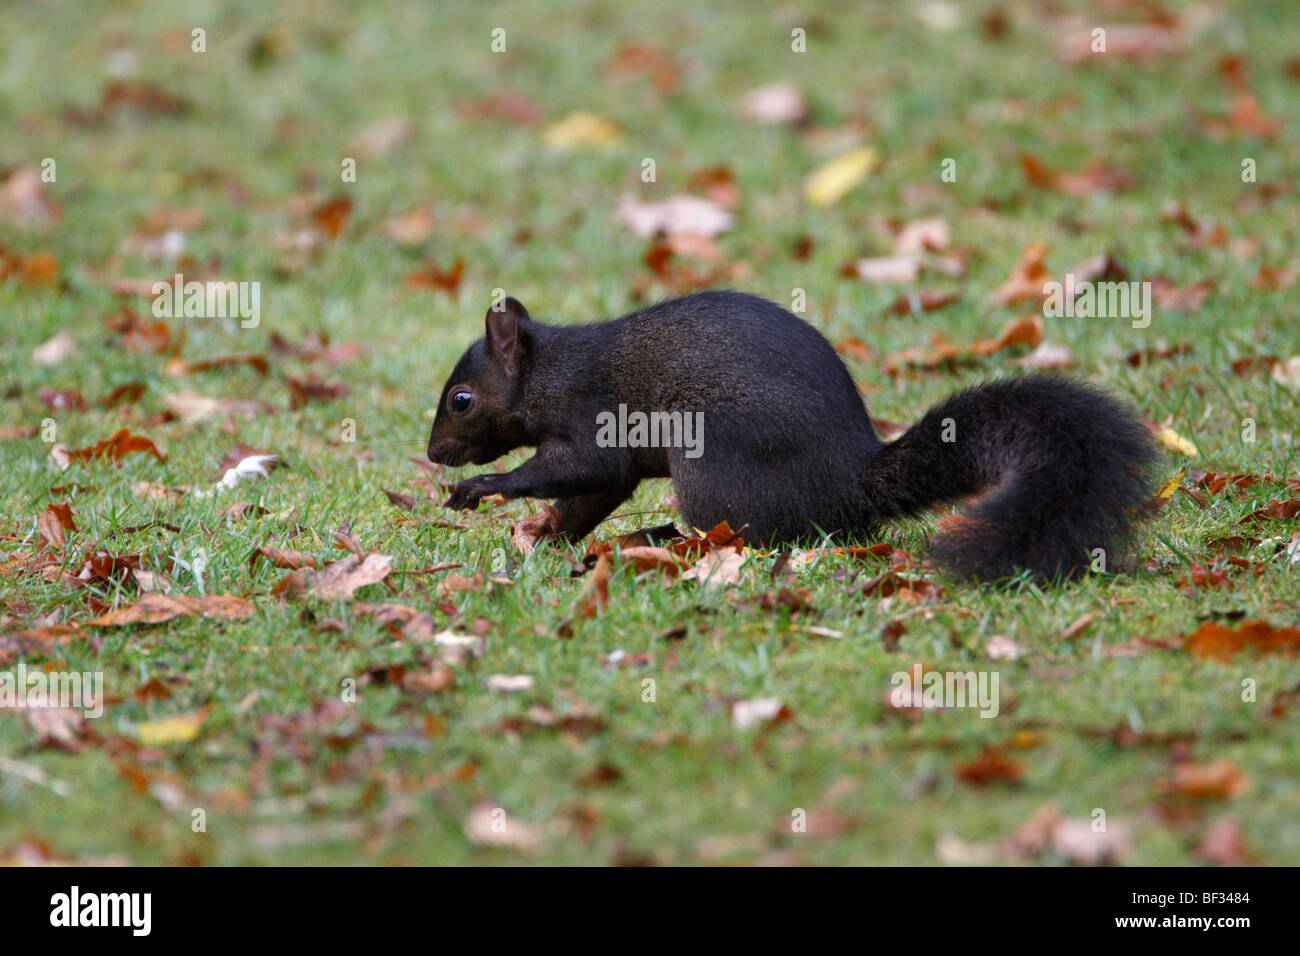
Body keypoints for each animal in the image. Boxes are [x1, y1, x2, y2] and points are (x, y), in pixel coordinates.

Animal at [426, 287, 1159, 580]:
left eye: (461, 400)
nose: (434, 454)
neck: (552, 372)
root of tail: (852, 480)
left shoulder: (591, 419)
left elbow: (579, 471)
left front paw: (485, 487)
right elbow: (586, 497)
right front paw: (545, 534)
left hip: (714, 464)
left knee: (755, 534)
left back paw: (669, 542)